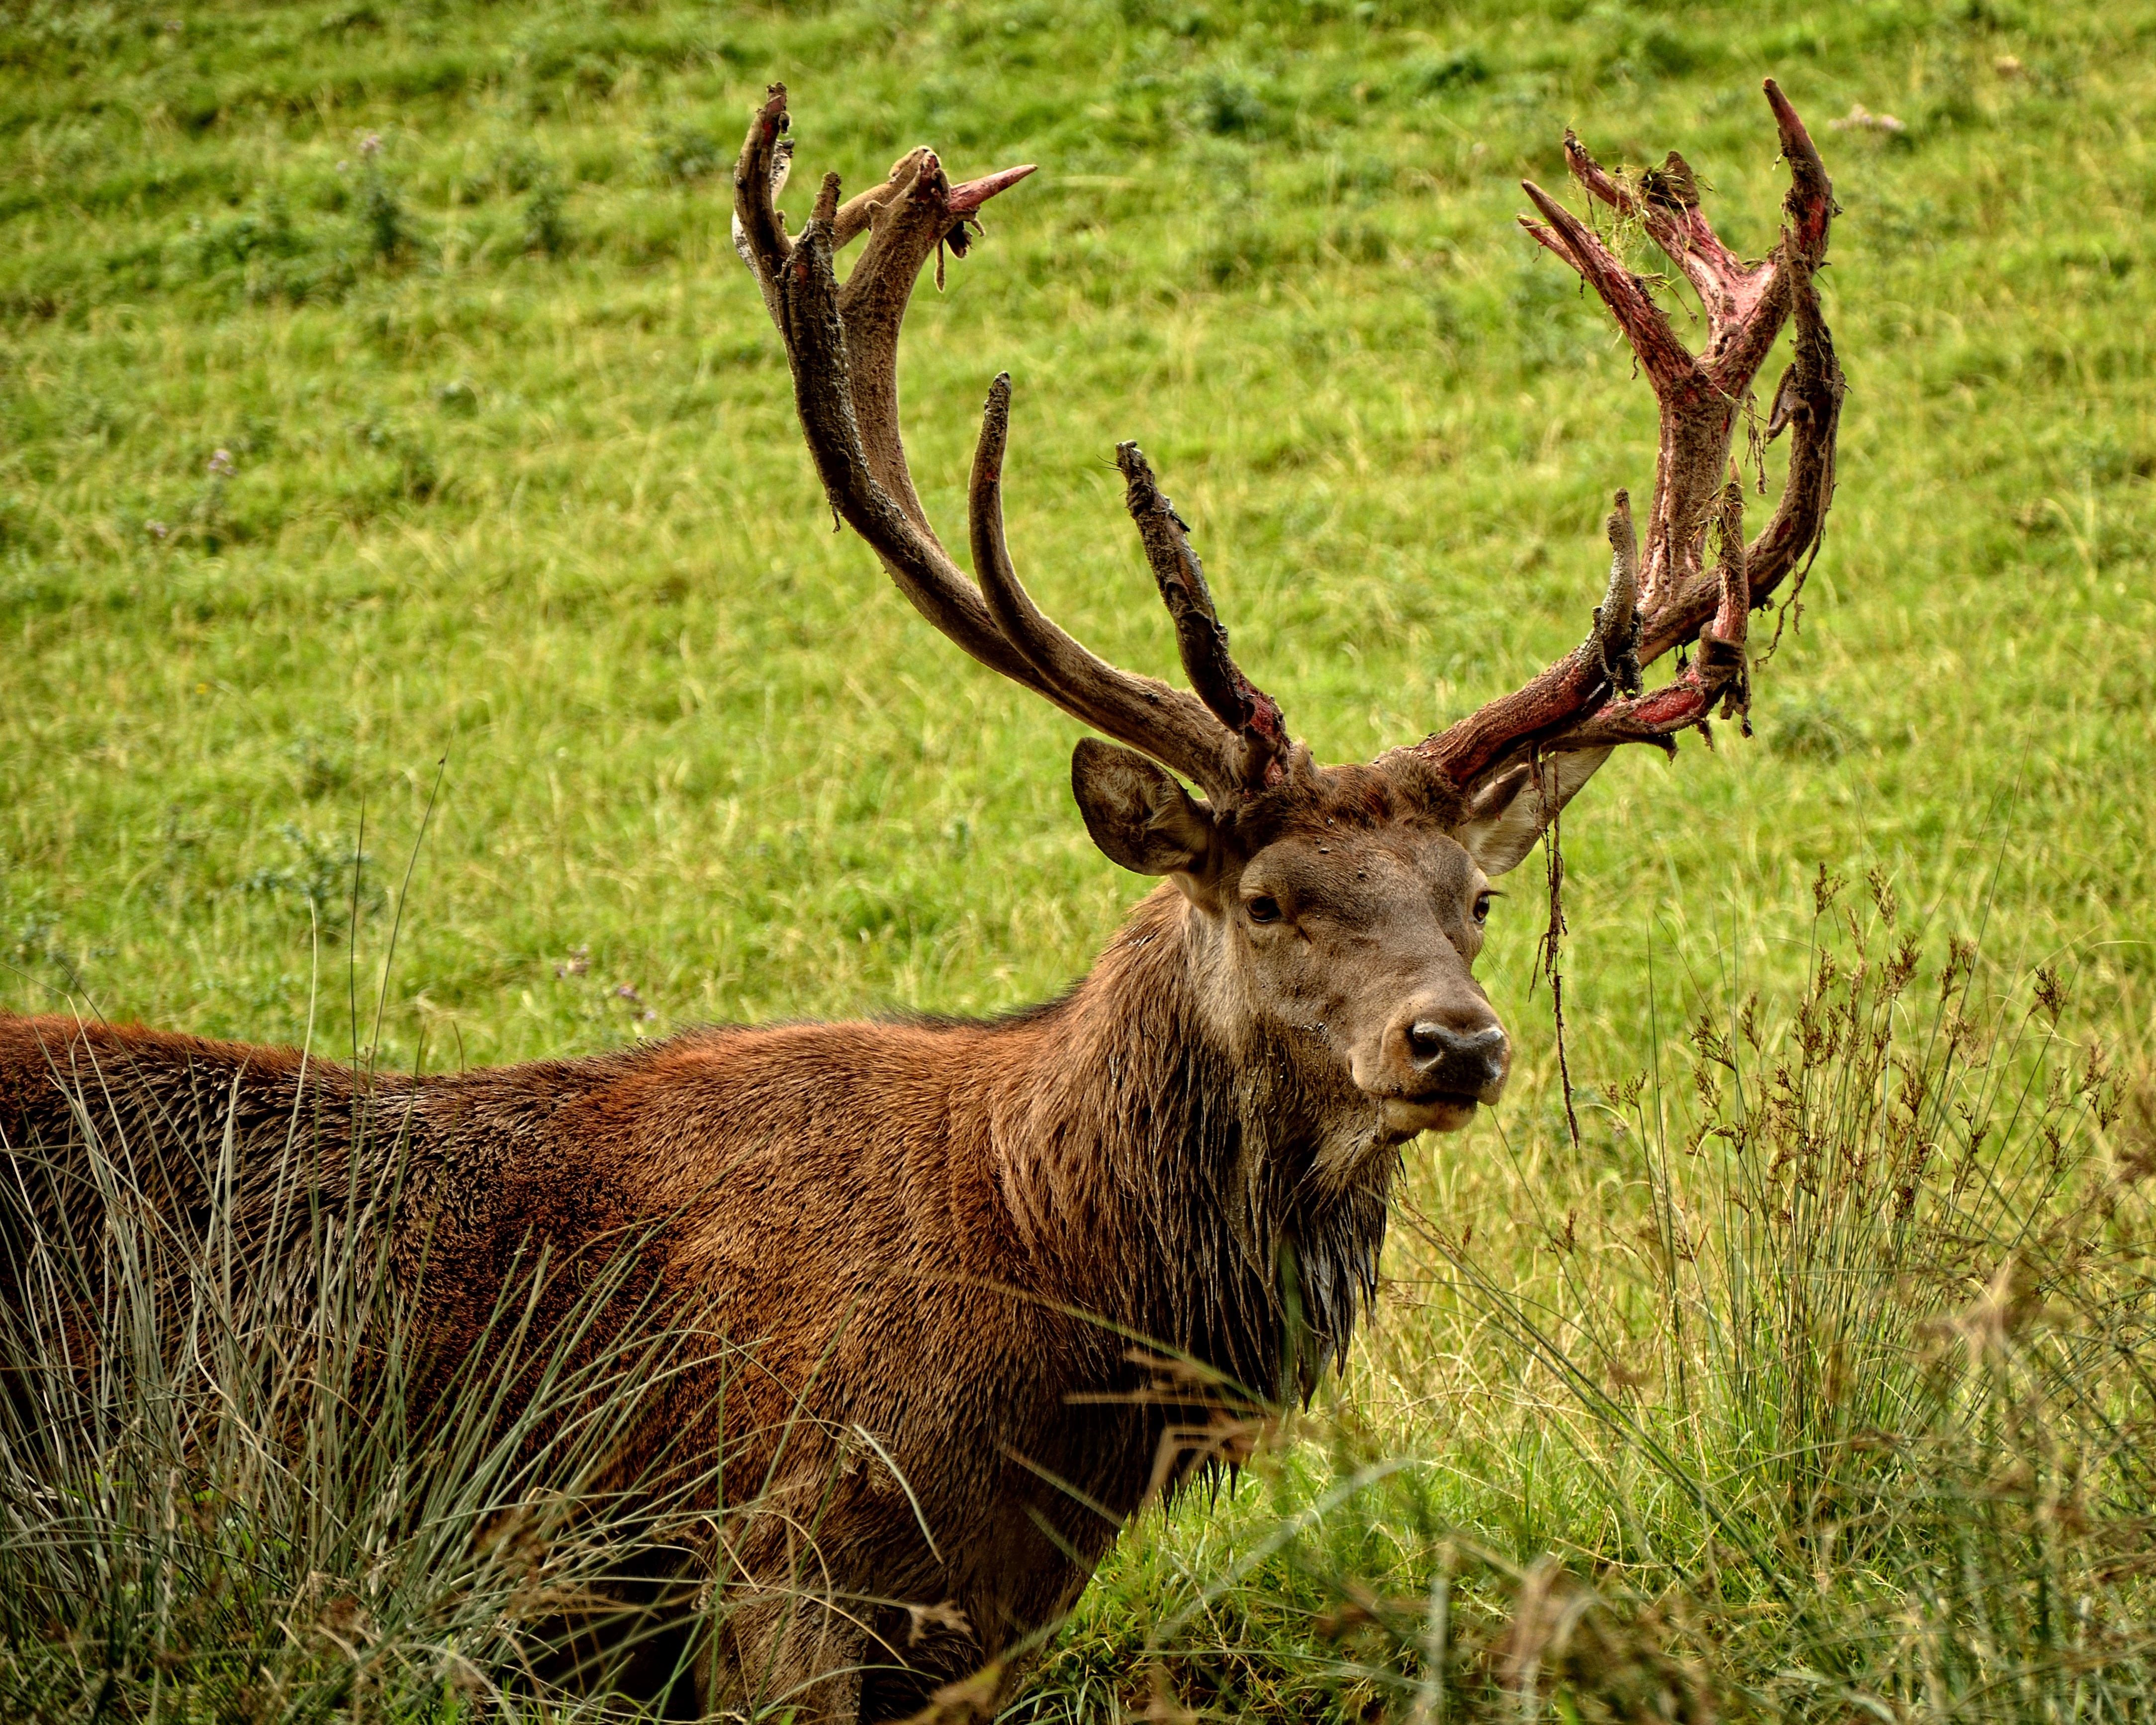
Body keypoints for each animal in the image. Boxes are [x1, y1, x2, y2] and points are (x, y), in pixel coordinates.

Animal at [4, 84, 1837, 1725]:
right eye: (1265, 896)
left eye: (1470, 897)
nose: (1454, 1040)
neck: (1042, 1311)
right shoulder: (771, 1559)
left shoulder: (969, 1625)